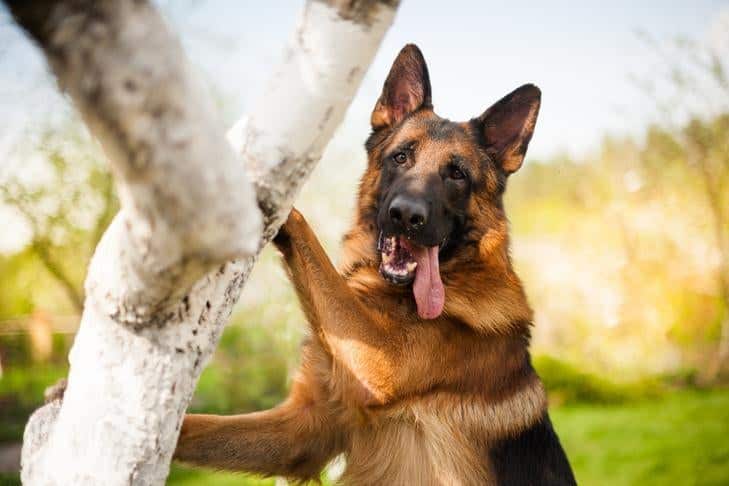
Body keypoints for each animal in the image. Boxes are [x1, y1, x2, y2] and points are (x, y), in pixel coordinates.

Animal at [176, 43, 576, 484]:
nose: (406, 215)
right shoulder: (300, 432)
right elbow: (196, 427)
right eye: (400, 157)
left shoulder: (380, 362)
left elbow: (304, 229)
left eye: (456, 174)